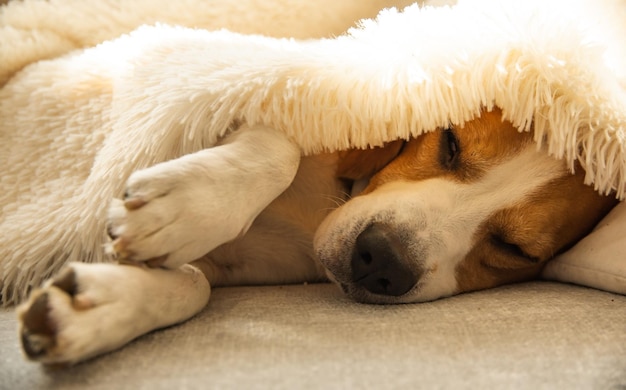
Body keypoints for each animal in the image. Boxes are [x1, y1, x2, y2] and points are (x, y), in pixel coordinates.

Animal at [15, 108, 616, 364]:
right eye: (450, 142)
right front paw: (189, 206)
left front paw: (100, 305)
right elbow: (278, 149)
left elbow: (193, 284)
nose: (381, 261)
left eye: (515, 249)